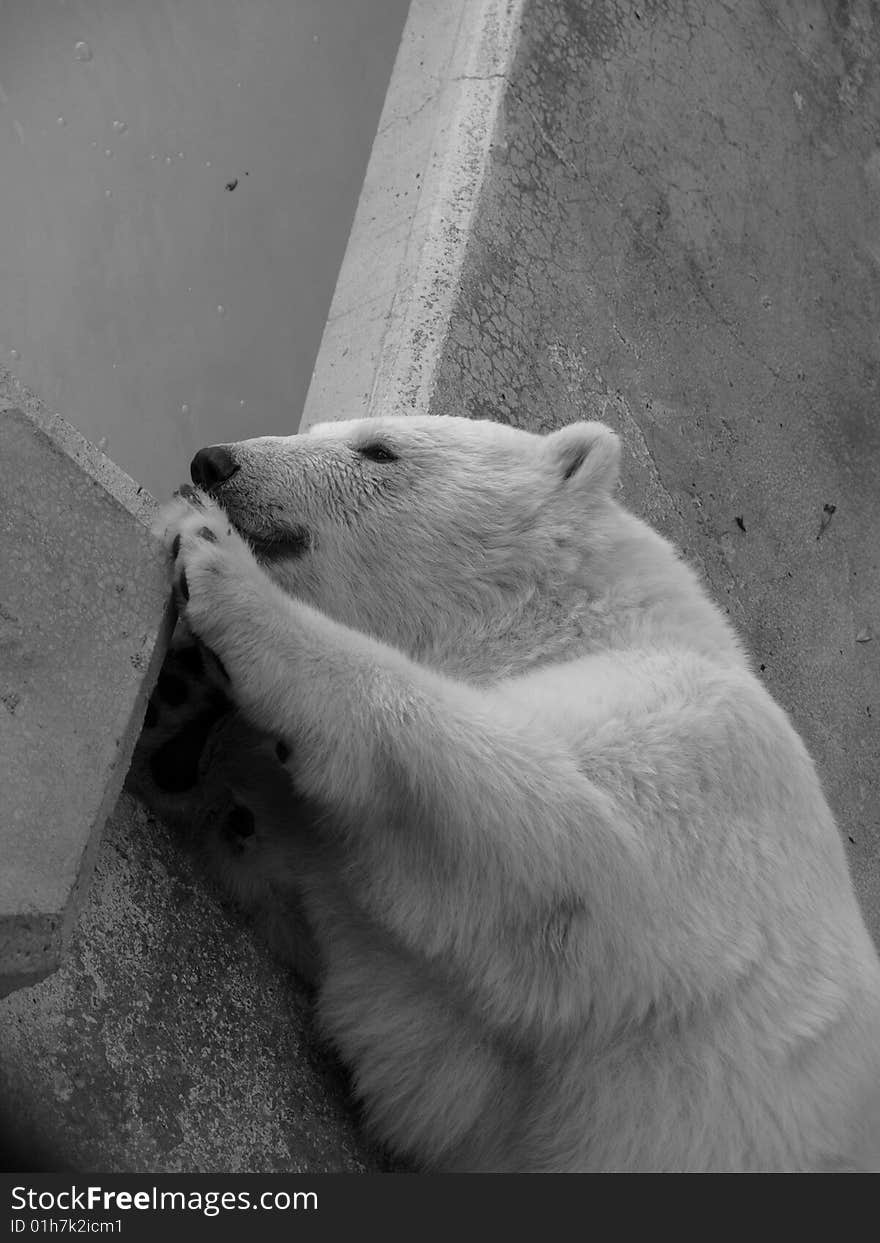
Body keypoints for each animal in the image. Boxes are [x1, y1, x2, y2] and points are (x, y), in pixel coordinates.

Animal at [151, 417, 879, 1173]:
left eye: (378, 449)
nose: (214, 462)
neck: (583, 621)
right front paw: (184, 709)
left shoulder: (706, 762)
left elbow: (556, 837)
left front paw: (218, 568)